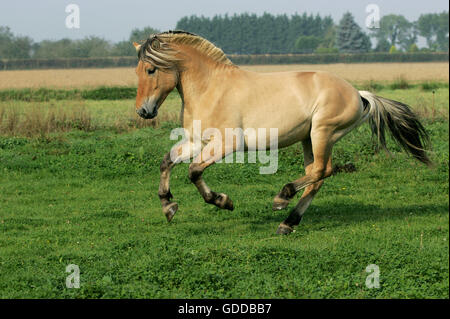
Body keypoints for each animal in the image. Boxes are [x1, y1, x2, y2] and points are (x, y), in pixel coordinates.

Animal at [132, 30, 430, 235]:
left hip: (323, 133)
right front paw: (168, 207)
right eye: (137, 71)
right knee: (317, 177)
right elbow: (167, 162)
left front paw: (223, 201)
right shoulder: (196, 141)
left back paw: (281, 199)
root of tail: (358, 95)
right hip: (309, 139)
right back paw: (287, 222)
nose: (143, 111)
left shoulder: (227, 144)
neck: (211, 89)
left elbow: (194, 172)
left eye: (151, 69)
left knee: (321, 171)